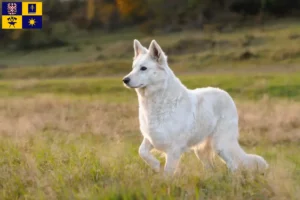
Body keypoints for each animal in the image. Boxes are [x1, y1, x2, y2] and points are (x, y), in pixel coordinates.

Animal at [123, 38, 268, 175]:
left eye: (143, 68)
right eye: (133, 67)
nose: (125, 80)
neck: (158, 100)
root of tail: (225, 94)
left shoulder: (173, 149)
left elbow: (168, 173)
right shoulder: (151, 138)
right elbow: (142, 151)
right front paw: (155, 165)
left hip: (221, 145)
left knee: (234, 165)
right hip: (201, 151)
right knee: (211, 168)